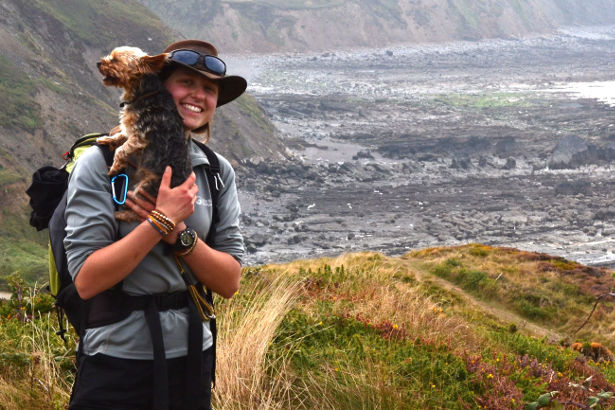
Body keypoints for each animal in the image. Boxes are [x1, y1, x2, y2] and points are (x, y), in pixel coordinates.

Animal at [96, 46, 191, 219]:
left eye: (115, 60)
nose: (99, 62)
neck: (143, 93)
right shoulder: (131, 129)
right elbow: (121, 135)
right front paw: (107, 139)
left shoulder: (140, 137)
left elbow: (121, 150)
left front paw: (114, 168)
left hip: (146, 188)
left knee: (138, 214)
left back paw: (119, 215)